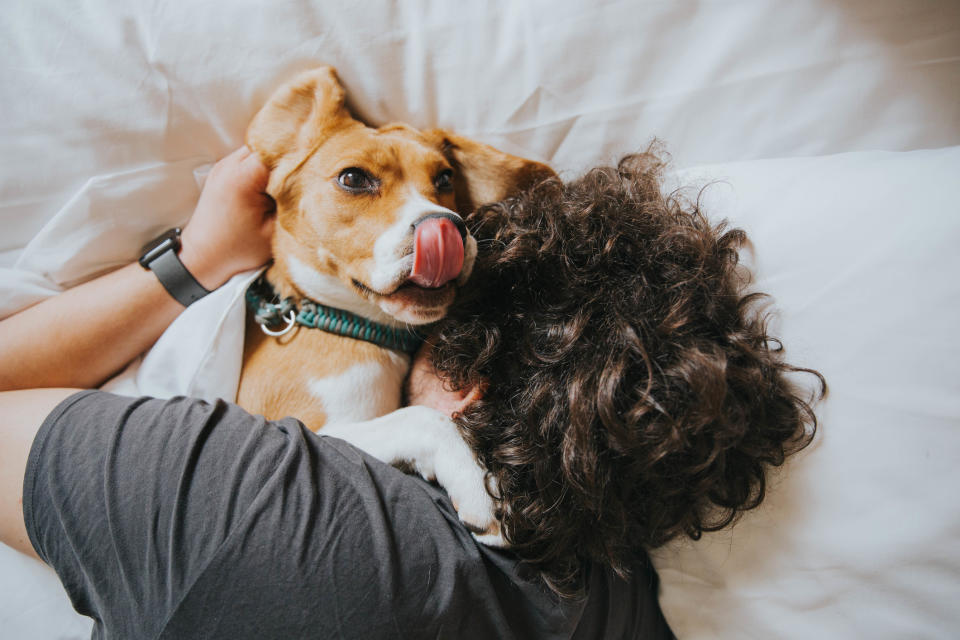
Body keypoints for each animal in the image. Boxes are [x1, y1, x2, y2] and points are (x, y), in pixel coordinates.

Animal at [236, 69, 556, 540]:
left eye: (444, 178)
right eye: (353, 178)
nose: (448, 228)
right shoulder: (305, 427)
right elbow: (421, 417)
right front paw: (480, 486)